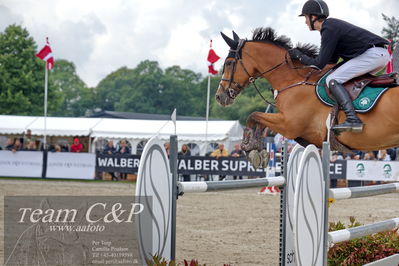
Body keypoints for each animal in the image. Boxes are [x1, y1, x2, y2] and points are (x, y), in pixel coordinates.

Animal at [216, 28, 399, 166]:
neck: (293, 80)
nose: (219, 96)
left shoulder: (289, 125)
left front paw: (249, 147)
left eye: (229, 63)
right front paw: (258, 149)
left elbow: (254, 116)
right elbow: (260, 121)